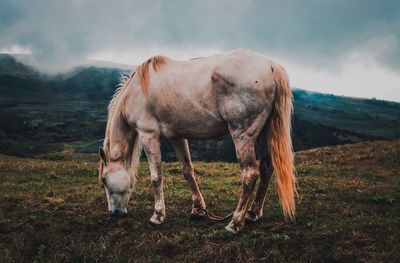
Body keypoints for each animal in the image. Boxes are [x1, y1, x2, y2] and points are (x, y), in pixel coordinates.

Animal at [98, 48, 296, 233]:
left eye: (104, 180)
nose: (115, 213)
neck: (136, 91)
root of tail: (271, 66)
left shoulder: (149, 135)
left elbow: (156, 177)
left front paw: (158, 215)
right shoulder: (177, 136)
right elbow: (188, 171)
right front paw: (198, 209)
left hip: (242, 136)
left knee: (250, 175)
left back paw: (235, 223)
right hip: (264, 133)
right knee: (266, 168)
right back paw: (252, 213)